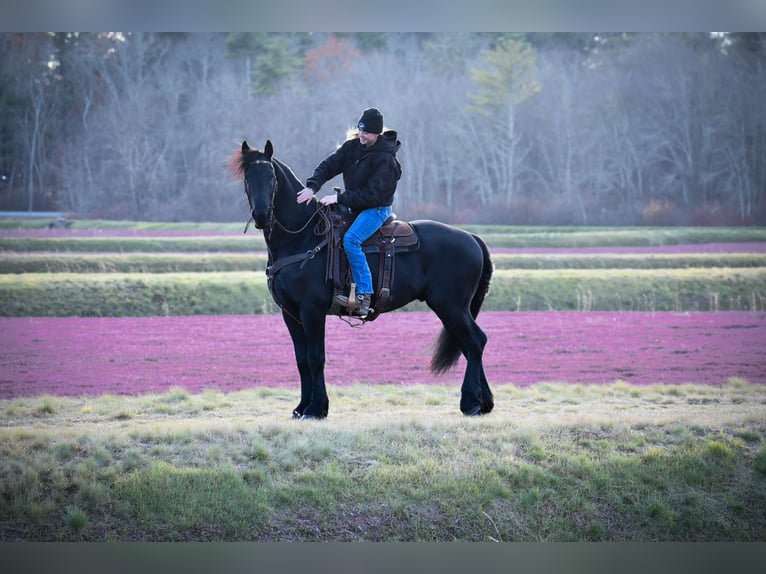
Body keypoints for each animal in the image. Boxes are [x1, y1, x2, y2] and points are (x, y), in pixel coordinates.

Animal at [229, 140, 494, 419]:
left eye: (271, 177)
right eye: (247, 177)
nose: (261, 215)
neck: (303, 239)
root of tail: (472, 238)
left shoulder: (312, 311)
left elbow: (316, 357)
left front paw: (317, 407)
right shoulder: (290, 313)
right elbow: (301, 360)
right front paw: (301, 407)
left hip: (450, 306)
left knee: (475, 342)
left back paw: (470, 402)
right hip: (455, 309)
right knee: (469, 344)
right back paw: (483, 402)